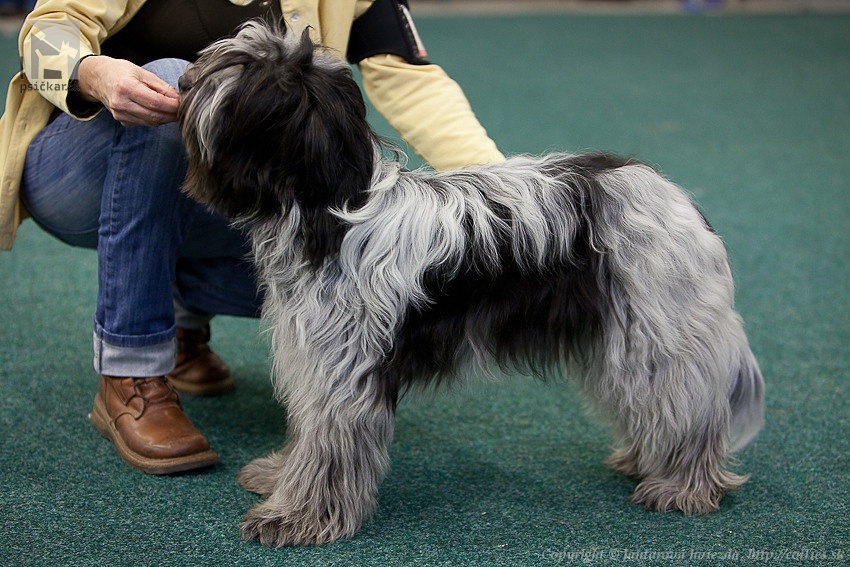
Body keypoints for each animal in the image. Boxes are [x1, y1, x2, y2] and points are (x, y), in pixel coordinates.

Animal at [177, 21, 760, 544]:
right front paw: (281, 480)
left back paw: (683, 485)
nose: (182, 81)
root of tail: (676, 198)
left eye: (244, 70)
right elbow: (307, 436)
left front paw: (298, 518)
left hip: (658, 333)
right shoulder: (313, 358)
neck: (331, 212)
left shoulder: (344, 369)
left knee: (691, 412)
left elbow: (328, 449)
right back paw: (647, 461)